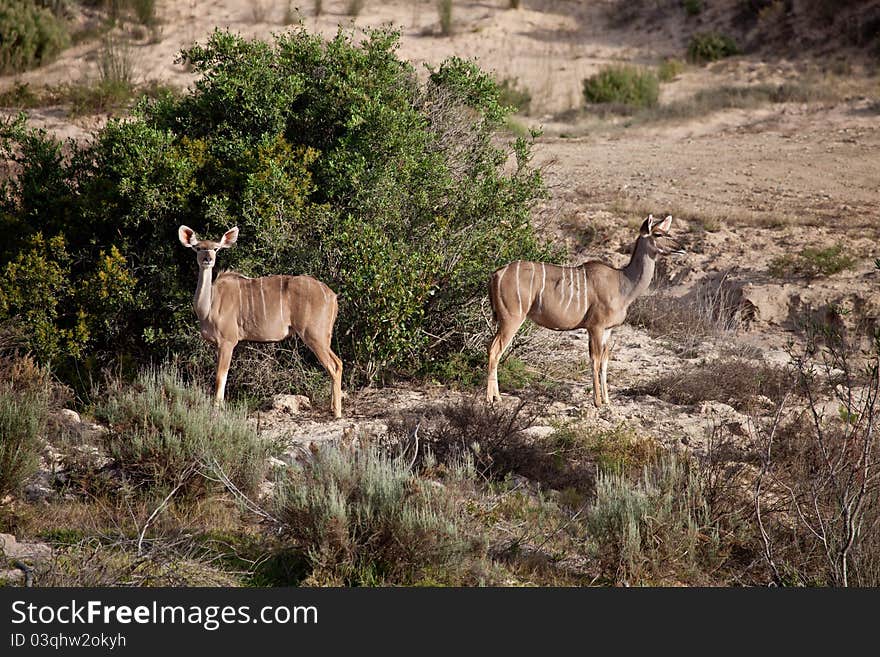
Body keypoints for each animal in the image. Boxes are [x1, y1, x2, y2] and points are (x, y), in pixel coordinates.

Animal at [177, 226, 342, 418]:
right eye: (197, 248)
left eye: (216, 248)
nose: (208, 259)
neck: (209, 306)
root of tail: (332, 296)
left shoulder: (227, 342)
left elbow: (220, 377)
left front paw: (217, 410)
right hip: (323, 337)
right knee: (337, 363)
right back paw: (332, 408)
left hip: (314, 335)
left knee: (334, 365)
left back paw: (337, 413)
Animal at [484, 215, 684, 408]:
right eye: (658, 234)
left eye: (667, 231)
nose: (681, 249)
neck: (623, 284)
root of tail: (495, 274)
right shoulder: (596, 327)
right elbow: (595, 360)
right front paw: (597, 402)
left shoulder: (607, 330)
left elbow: (604, 362)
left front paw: (607, 401)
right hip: (512, 318)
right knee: (495, 350)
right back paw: (493, 398)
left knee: (491, 347)